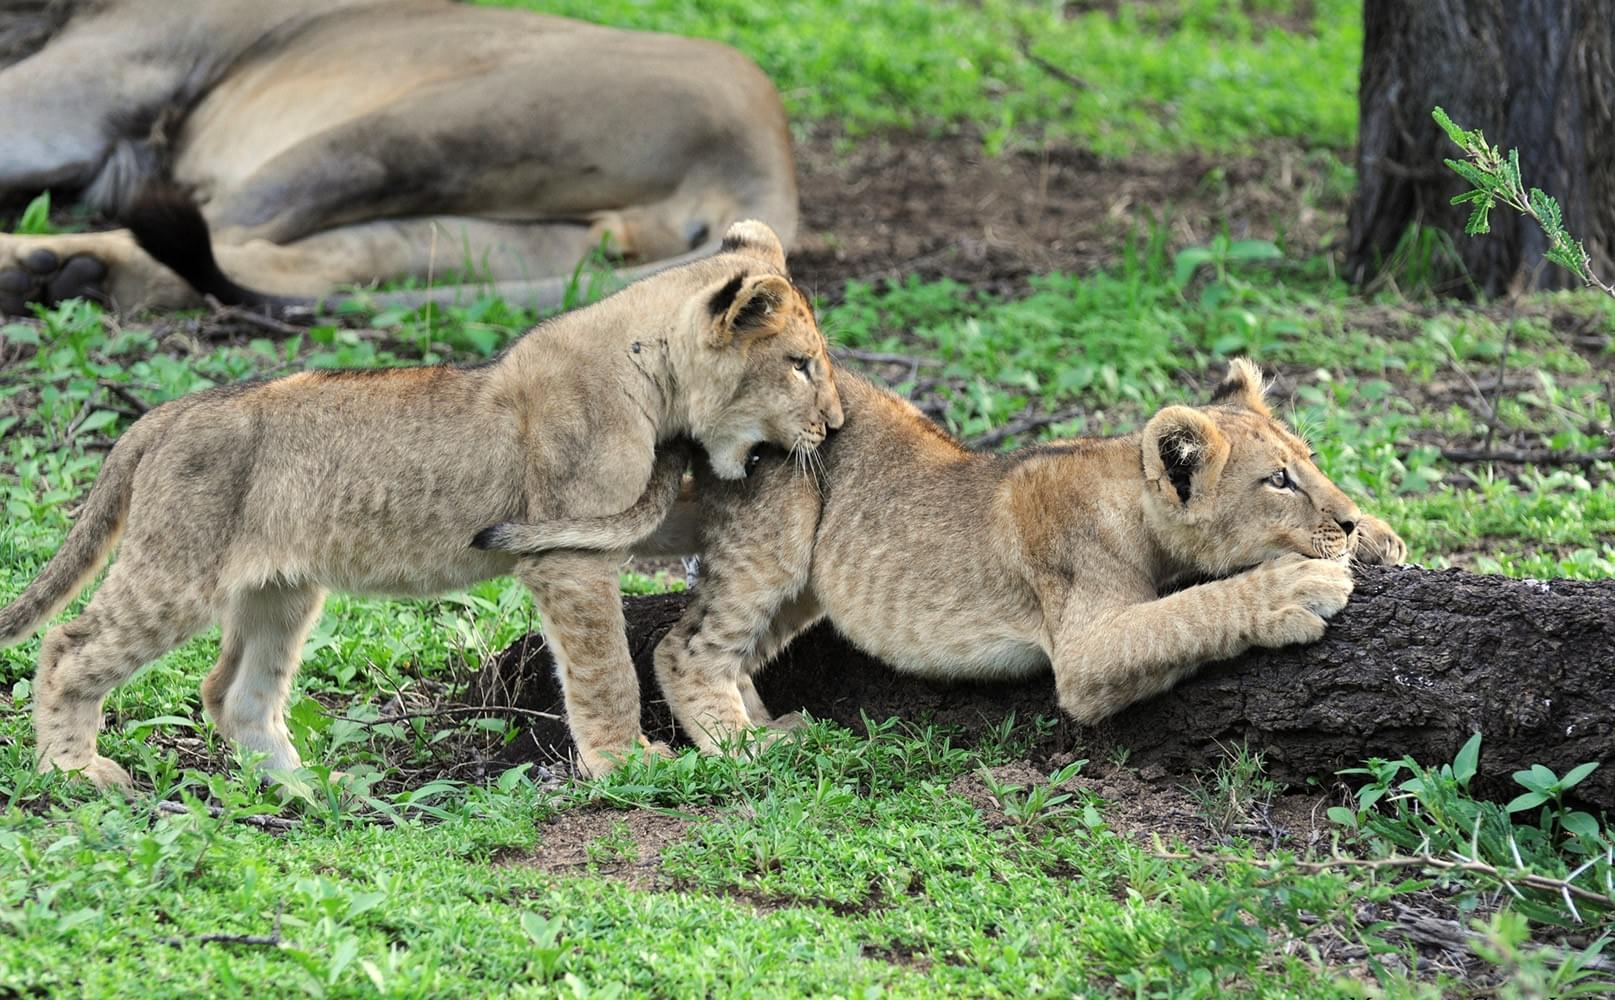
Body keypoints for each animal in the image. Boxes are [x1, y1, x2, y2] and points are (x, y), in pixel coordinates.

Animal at [0, 0, 797, 315]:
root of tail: (770, 154)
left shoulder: (82, 85)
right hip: (487, 231)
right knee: (300, 262)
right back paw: (69, 276)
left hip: (407, 129)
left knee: (227, 238)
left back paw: (34, 267)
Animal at [0, 220, 843, 788]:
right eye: (800, 365)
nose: (833, 425)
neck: (649, 375)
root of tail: (170, 411)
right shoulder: (569, 550)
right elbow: (606, 670)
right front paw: (626, 763)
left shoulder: (621, 518)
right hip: (177, 572)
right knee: (68, 647)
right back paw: (74, 771)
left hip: (281, 589)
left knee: (232, 692)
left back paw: (308, 792)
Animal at [476, 359, 1407, 752]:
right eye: (1278, 480)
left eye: (1312, 459)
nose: (1343, 517)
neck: (1125, 489)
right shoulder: (1081, 654)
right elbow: (1188, 610)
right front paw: (1300, 585)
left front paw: (1381, 535)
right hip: (774, 534)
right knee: (683, 645)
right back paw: (748, 749)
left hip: (807, 586)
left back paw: (764, 721)